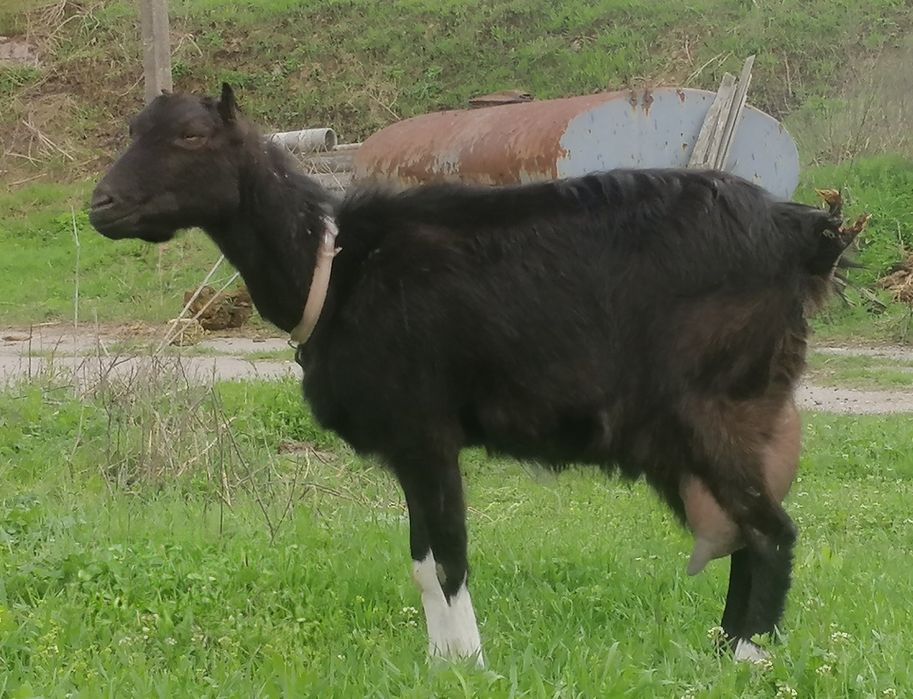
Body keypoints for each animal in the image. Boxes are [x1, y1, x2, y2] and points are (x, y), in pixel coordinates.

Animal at [89, 84, 863, 666]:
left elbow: (447, 556)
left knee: (770, 531)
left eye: (192, 137)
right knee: (743, 531)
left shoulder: (426, 429)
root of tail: (802, 235)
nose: (102, 206)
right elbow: (421, 559)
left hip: (714, 410)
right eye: (134, 130)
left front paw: (468, 663)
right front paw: (439, 663)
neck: (336, 265)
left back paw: (744, 659)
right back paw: (723, 648)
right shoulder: (407, 445)